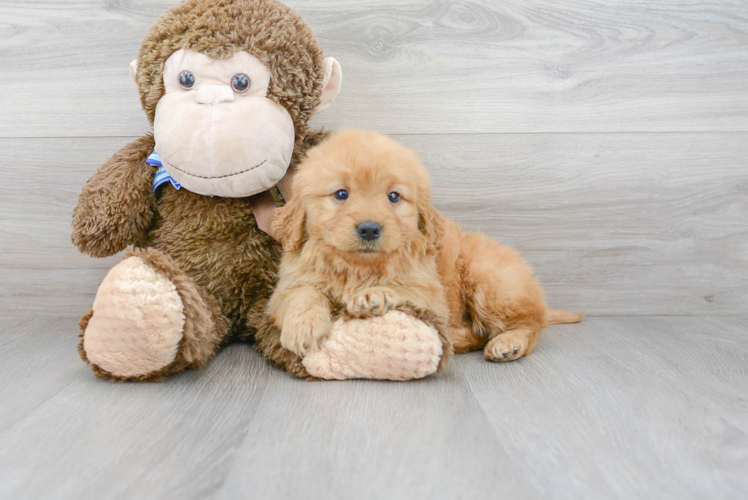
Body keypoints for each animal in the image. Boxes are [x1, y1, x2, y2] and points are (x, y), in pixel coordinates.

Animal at [272, 129, 580, 364]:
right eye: (340, 194)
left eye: (393, 196)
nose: (369, 228)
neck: (358, 268)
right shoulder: (289, 285)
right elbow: (303, 294)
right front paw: (303, 328)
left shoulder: (432, 293)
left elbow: (404, 288)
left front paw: (373, 295)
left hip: (490, 280)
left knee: (531, 322)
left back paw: (509, 342)